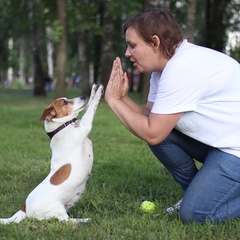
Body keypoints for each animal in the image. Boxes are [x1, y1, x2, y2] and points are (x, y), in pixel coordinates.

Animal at [0, 83, 103, 224]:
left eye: (67, 99)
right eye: (65, 102)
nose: (83, 96)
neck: (61, 128)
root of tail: (24, 208)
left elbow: (89, 105)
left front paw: (93, 89)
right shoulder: (84, 126)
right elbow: (91, 108)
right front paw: (99, 92)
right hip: (57, 209)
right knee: (66, 221)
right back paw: (85, 219)